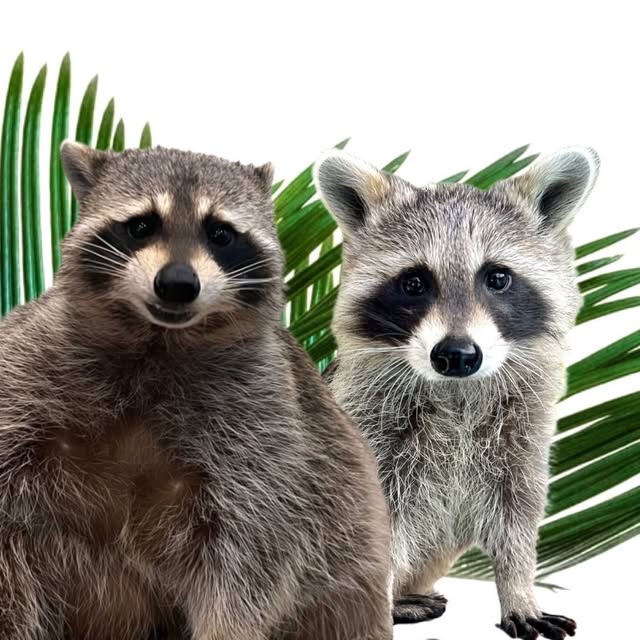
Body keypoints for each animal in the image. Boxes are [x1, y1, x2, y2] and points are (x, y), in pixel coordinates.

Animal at [0, 144, 393, 640]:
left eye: (220, 234)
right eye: (142, 225)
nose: (178, 284)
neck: (159, 343)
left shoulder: (268, 428)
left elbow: (253, 556)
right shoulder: (29, 368)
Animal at [314, 147, 599, 639]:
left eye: (498, 277)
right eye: (413, 283)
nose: (457, 354)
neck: (456, 393)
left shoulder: (521, 439)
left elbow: (517, 517)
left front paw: (518, 588)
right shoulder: (367, 434)